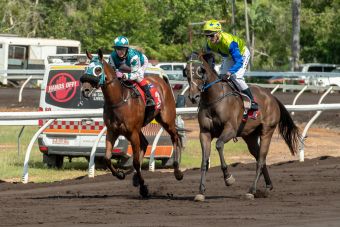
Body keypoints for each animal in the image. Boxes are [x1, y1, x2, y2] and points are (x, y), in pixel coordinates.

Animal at [80, 49, 183, 197]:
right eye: (86, 68)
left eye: (98, 69)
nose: (85, 90)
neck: (118, 100)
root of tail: (163, 81)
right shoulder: (112, 131)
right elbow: (107, 158)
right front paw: (120, 174)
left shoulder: (132, 133)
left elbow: (135, 162)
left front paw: (143, 188)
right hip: (140, 128)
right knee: (145, 143)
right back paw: (135, 177)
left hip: (166, 120)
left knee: (175, 137)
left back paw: (177, 171)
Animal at [185, 51, 302, 200]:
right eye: (186, 72)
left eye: (201, 71)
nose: (193, 97)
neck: (214, 99)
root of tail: (272, 97)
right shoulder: (204, 133)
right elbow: (204, 161)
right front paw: (201, 192)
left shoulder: (230, 129)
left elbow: (219, 145)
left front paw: (228, 178)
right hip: (250, 136)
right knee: (259, 158)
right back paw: (268, 186)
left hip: (267, 131)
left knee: (261, 160)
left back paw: (252, 190)